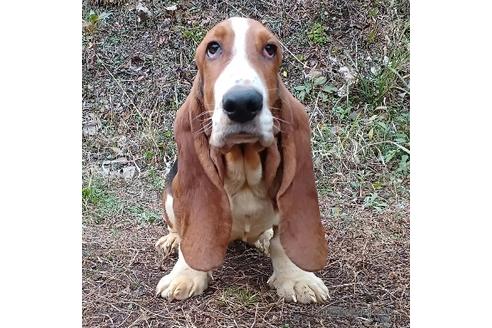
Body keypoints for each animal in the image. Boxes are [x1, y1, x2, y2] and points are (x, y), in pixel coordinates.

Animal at [156, 16, 328, 304]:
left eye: (270, 49)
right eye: (212, 48)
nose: (242, 103)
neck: (244, 163)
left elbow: (281, 242)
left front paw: (298, 279)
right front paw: (186, 274)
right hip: (169, 196)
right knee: (176, 228)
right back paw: (171, 240)